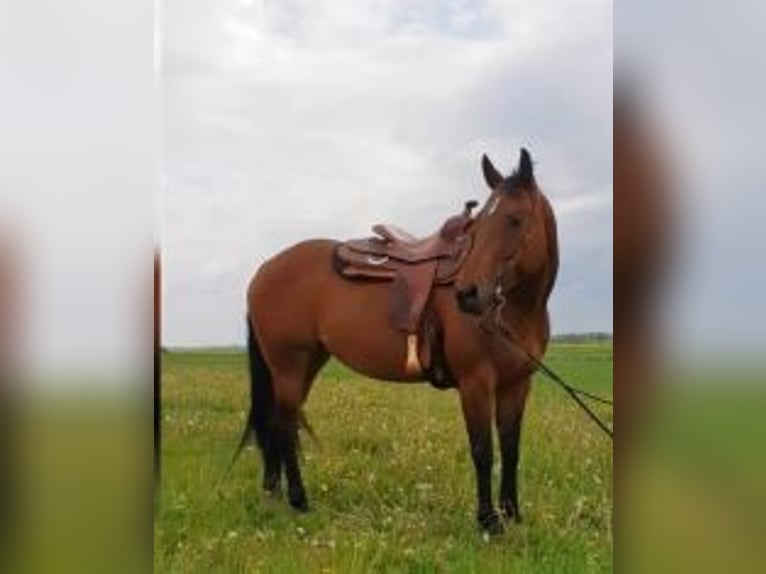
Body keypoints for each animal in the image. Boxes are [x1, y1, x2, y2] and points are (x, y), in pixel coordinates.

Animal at [237, 148, 558, 534]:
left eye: (514, 220)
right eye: (480, 225)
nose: (467, 294)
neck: (516, 308)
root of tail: (264, 270)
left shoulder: (517, 383)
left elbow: (511, 449)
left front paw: (512, 514)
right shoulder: (476, 382)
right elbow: (483, 451)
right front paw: (489, 521)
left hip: (305, 364)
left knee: (276, 423)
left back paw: (273, 493)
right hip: (289, 364)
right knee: (285, 425)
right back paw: (299, 500)